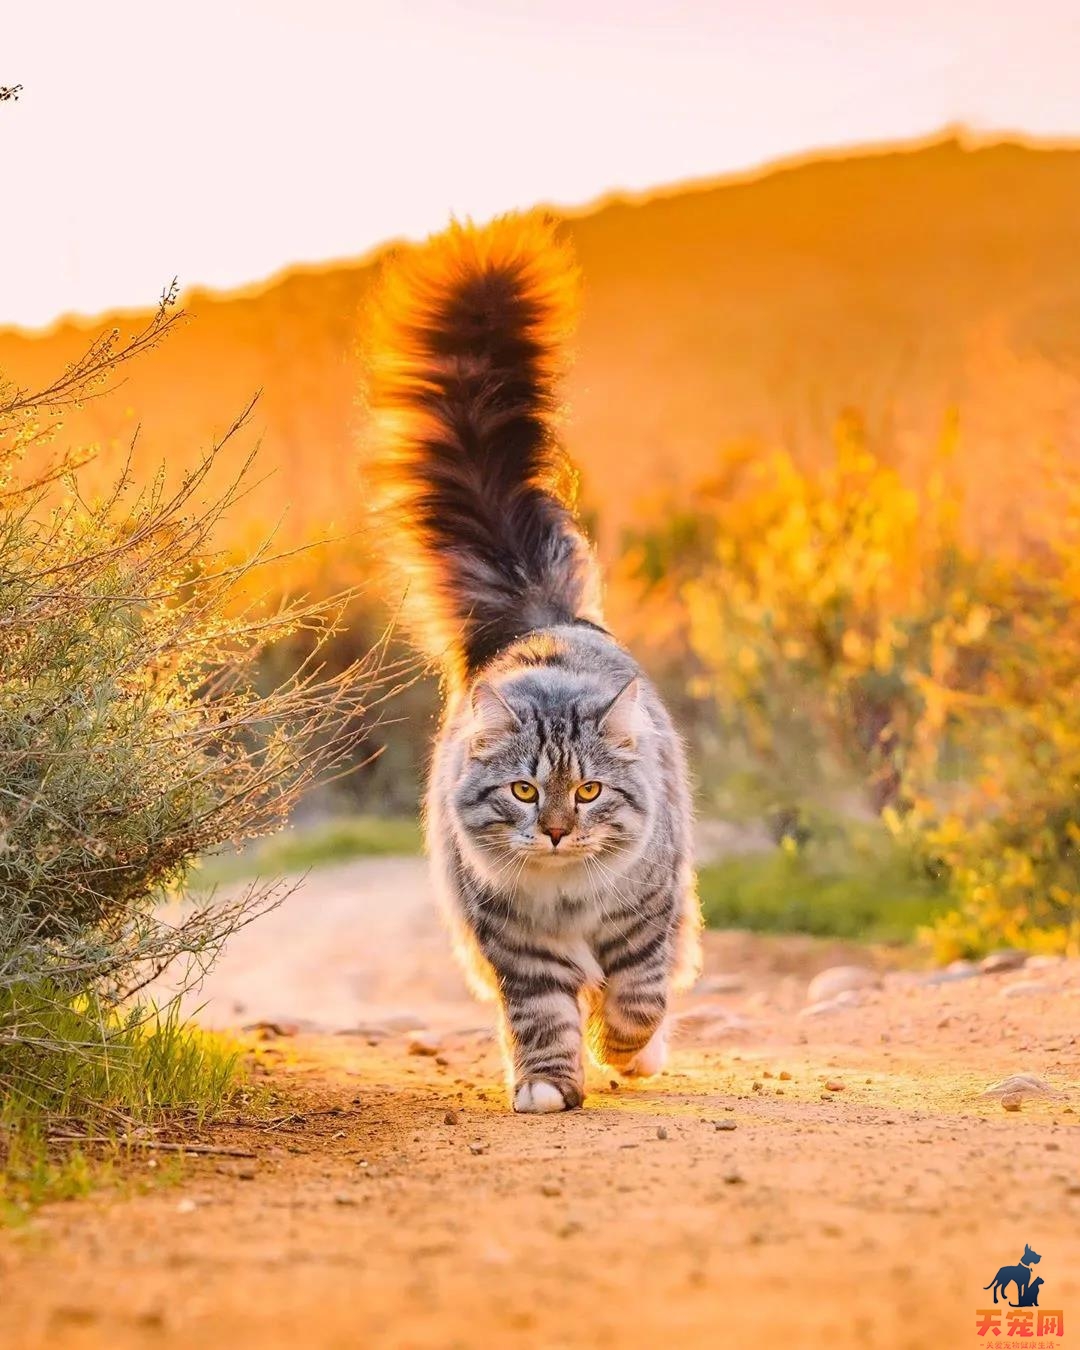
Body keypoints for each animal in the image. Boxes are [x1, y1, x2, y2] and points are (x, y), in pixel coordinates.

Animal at [364, 216, 702, 1112]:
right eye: (523, 791)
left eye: (586, 792)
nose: (554, 831)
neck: (566, 895)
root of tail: (536, 612)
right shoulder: (512, 939)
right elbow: (543, 1014)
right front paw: (549, 1083)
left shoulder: (645, 912)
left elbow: (640, 992)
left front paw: (622, 1048)